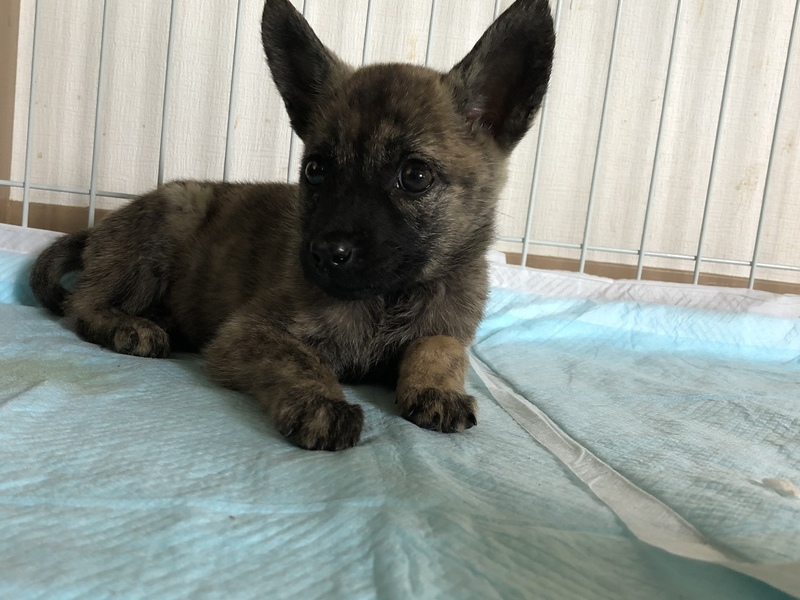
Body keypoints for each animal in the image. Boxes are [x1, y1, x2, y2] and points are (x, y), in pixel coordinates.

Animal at [29, 0, 555, 450]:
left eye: (415, 176)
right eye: (316, 170)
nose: (324, 254)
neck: (387, 300)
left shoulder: (446, 329)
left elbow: (442, 347)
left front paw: (436, 389)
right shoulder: (250, 332)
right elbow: (300, 357)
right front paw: (320, 403)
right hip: (170, 219)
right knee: (82, 304)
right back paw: (130, 326)